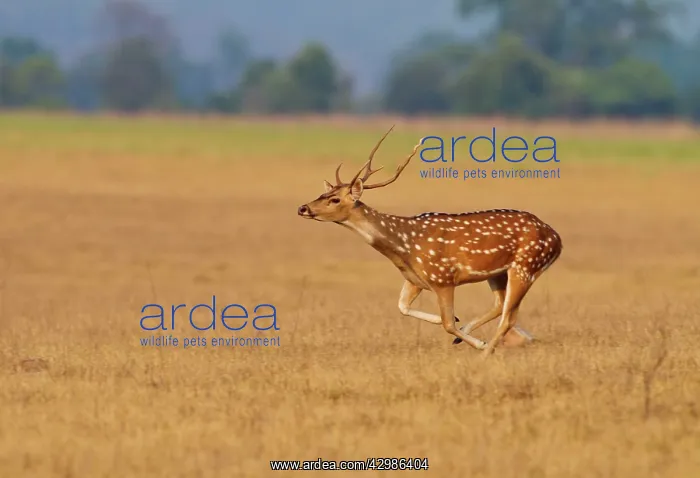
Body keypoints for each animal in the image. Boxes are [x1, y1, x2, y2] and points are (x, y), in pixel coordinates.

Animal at [297, 126, 563, 357]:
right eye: (323, 193)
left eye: (335, 199)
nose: (303, 208)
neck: (403, 247)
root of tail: (557, 239)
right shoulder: (415, 279)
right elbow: (403, 307)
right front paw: (459, 325)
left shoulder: (442, 278)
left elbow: (447, 323)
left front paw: (474, 339)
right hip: (498, 272)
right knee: (500, 306)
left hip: (526, 266)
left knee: (508, 316)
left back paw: (485, 352)